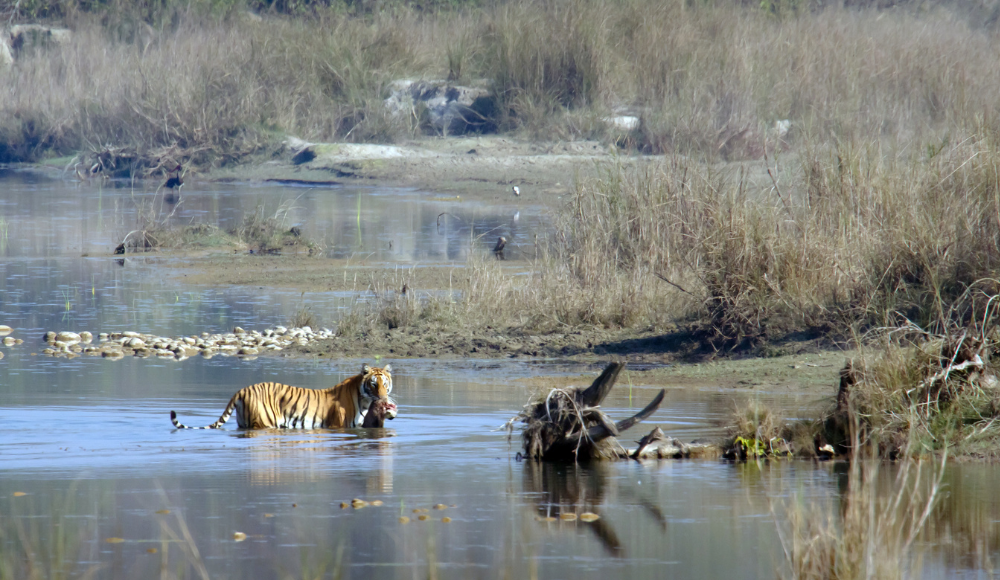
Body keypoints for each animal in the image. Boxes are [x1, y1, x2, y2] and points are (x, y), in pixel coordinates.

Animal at [170, 362, 396, 430]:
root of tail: (242, 389)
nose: (384, 399)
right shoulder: (337, 426)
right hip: (264, 422)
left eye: (385, 385)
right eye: (374, 385)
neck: (363, 400)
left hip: (243, 422)